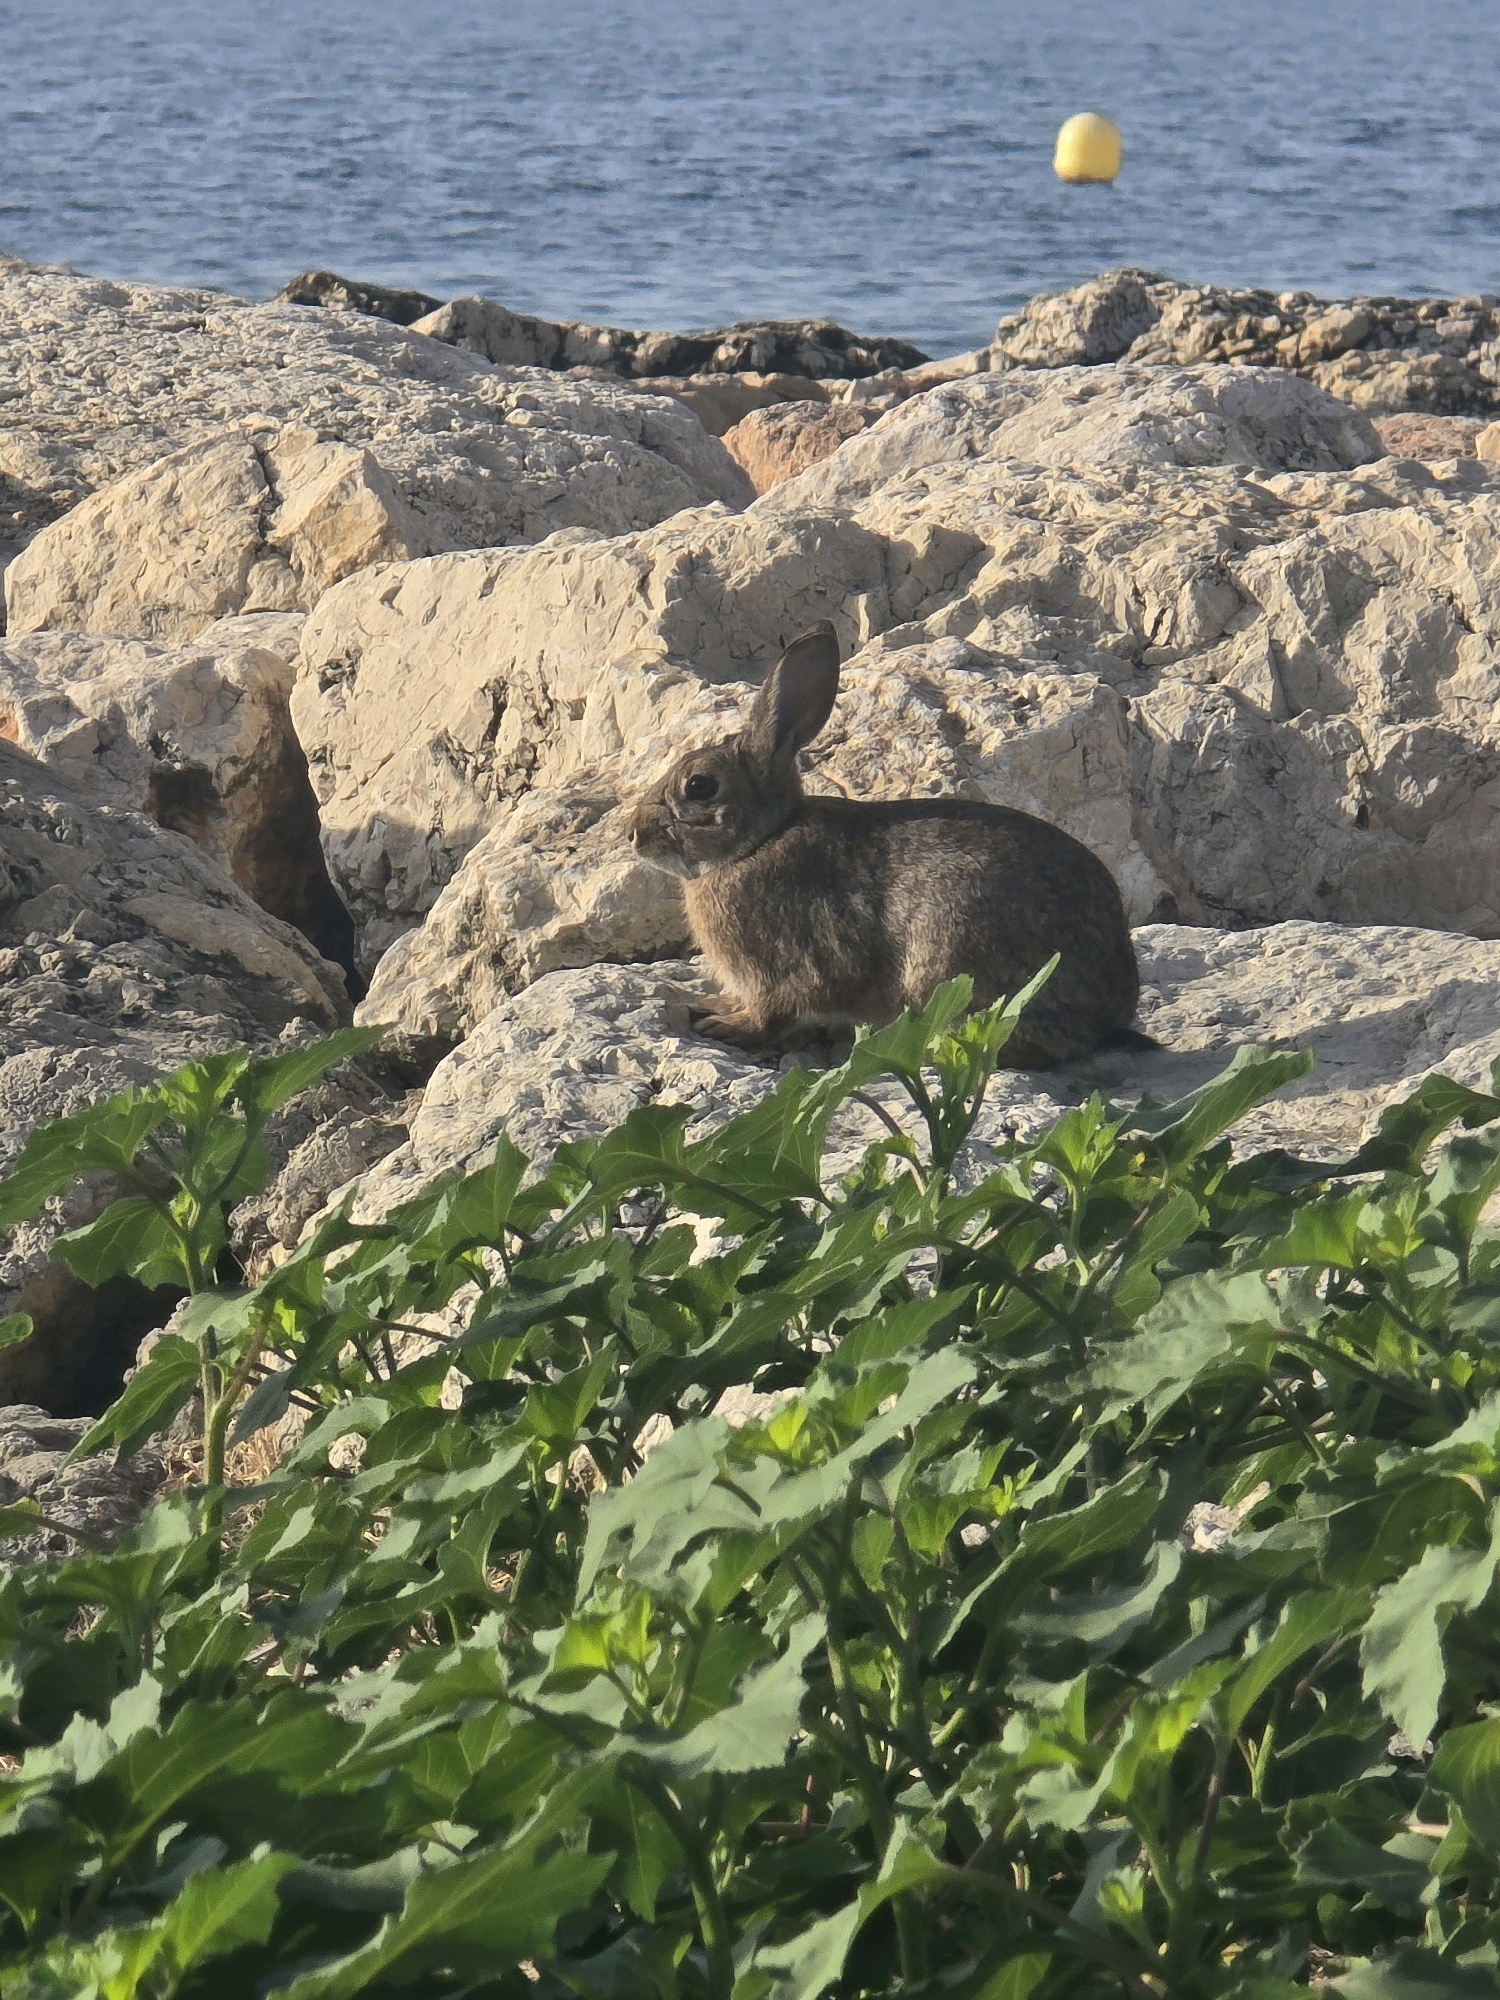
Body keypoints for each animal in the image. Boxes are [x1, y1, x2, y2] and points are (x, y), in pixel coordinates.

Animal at [628, 622, 1149, 1066]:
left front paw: (725, 1026)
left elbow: (772, 1014)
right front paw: (714, 1003)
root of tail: (1109, 1016)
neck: (761, 840)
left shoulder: (787, 965)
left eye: (699, 786)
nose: (634, 834)